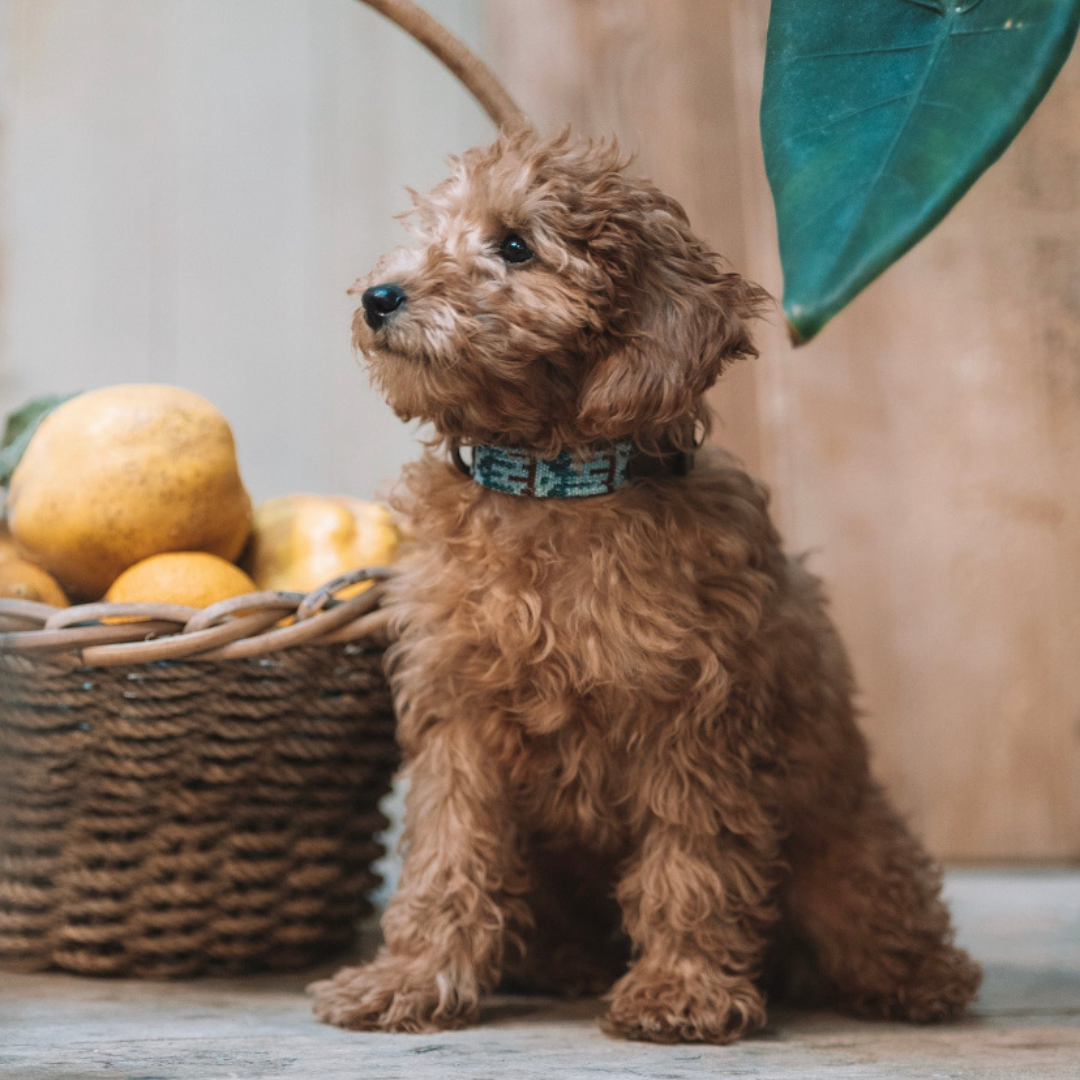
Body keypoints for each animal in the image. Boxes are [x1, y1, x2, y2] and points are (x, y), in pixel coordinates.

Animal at [308, 130, 984, 1041]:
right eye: (432, 229)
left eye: (514, 246)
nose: (381, 297)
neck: (552, 487)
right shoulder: (458, 715)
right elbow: (446, 857)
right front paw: (408, 979)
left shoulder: (693, 718)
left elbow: (692, 864)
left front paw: (680, 991)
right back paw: (564, 965)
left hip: (847, 851)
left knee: (885, 919)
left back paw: (920, 981)